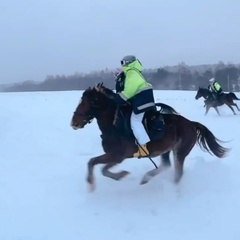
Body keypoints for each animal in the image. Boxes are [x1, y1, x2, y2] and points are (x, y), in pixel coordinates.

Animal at [70, 84, 230, 191]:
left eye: (88, 102)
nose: (74, 122)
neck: (114, 123)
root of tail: (191, 123)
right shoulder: (114, 156)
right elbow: (94, 164)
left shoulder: (118, 155)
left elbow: (97, 165)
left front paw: (116, 176)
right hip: (166, 149)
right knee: (166, 165)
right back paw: (146, 178)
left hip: (180, 152)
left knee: (178, 173)